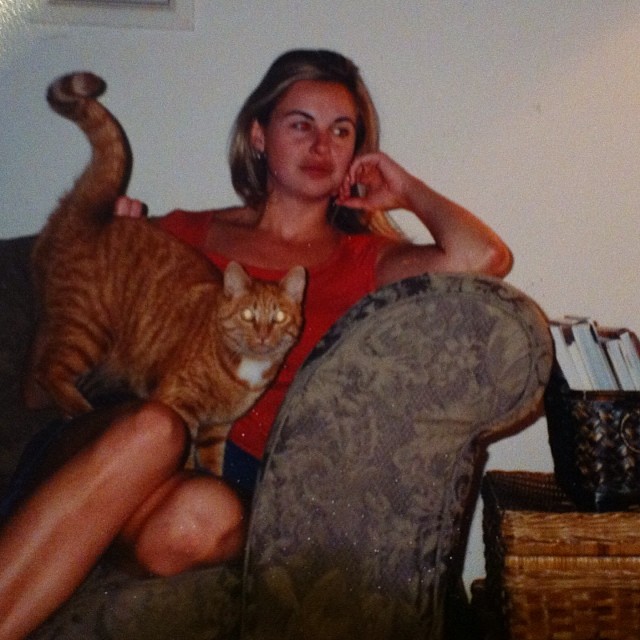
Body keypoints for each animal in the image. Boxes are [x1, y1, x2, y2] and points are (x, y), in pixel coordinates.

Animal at [25, 71, 306, 475]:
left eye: (279, 316)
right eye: (249, 315)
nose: (265, 335)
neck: (244, 370)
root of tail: (91, 214)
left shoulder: (216, 430)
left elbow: (213, 468)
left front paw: (213, 481)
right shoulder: (178, 408)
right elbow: (185, 463)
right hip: (88, 328)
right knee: (47, 371)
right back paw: (80, 409)